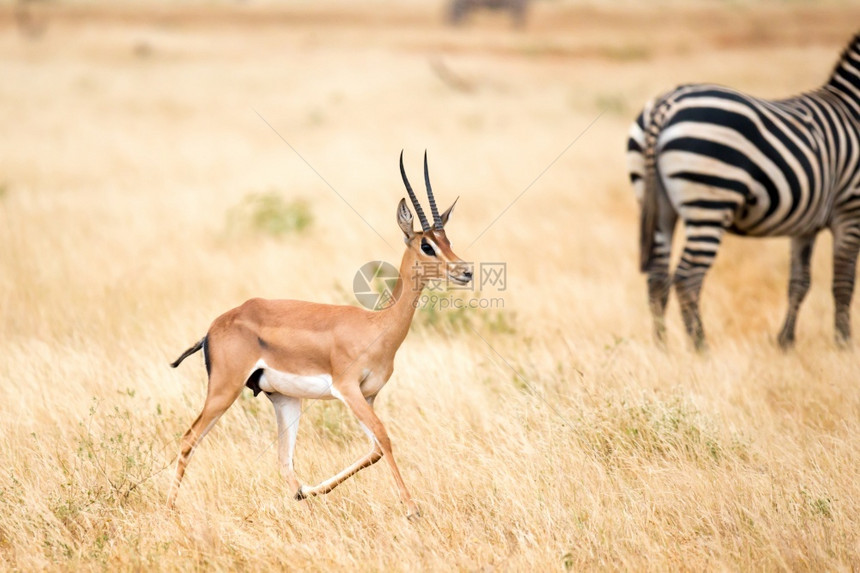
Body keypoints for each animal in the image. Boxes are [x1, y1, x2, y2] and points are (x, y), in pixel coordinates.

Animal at [624, 34, 860, 348]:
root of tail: (666, 104)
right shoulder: (850, 209)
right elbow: (843, 281)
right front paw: (844, 344)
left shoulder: (807, 222)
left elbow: (799, 281)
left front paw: (785, 341)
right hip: (709, 201)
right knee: (687, 277)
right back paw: (700, 348)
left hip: (657, 203)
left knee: (657, 277)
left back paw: (662, 348)